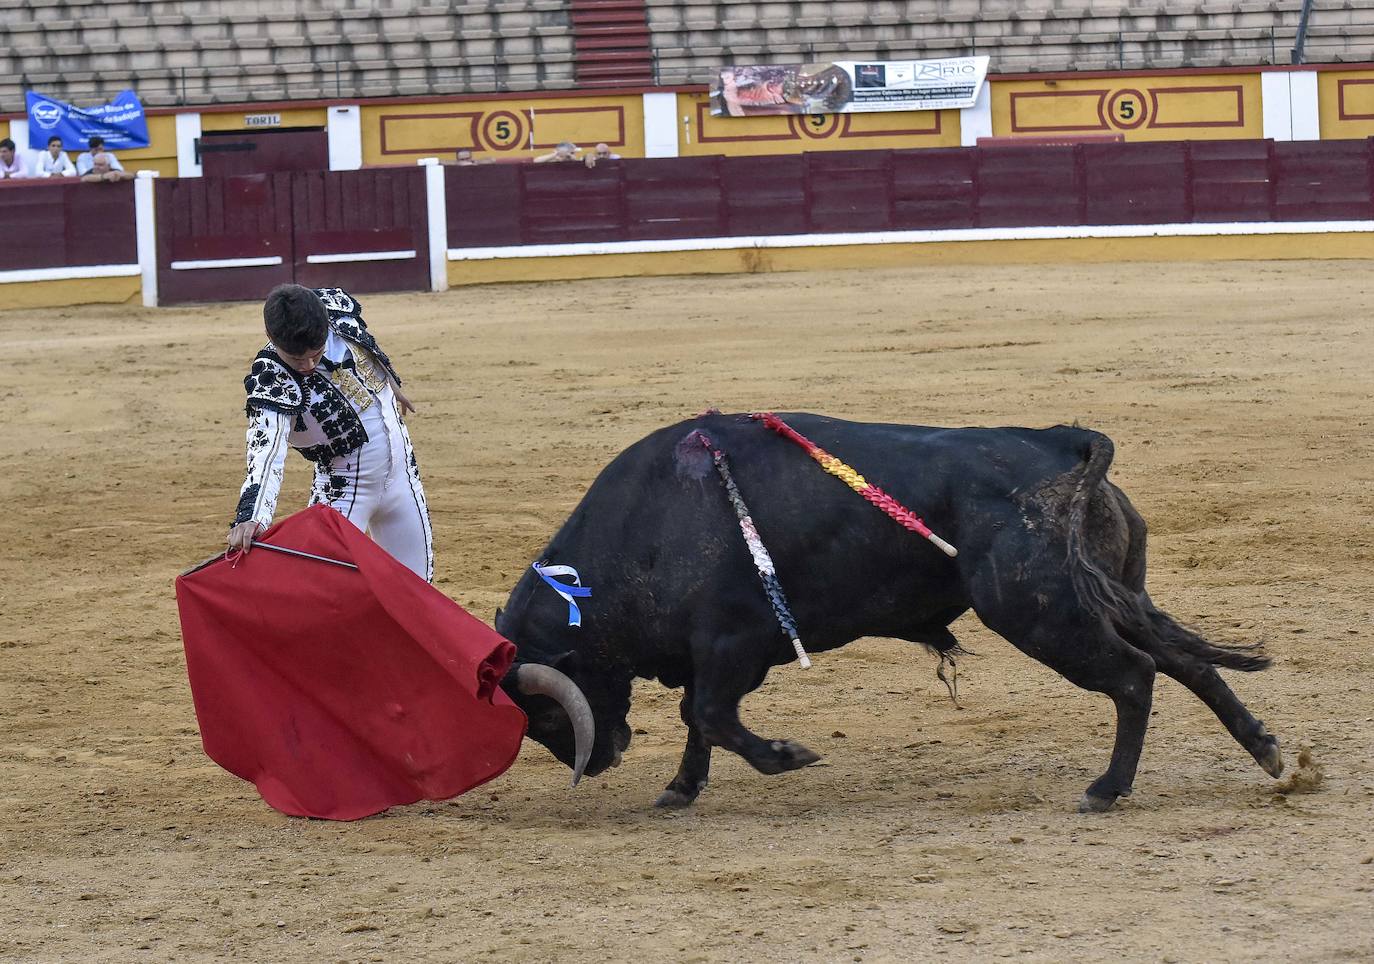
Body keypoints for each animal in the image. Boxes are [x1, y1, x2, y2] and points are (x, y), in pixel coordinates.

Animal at [491, 411, 1275, 812]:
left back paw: (1107, 790)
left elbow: (707, 715)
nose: (598, 762)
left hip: (1038, 612)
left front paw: (788, 756)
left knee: (1136, 675)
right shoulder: (702, 653)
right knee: (1187, 663)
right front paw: (681, 789)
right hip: (1111, 594)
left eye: (549, 714)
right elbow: (697, 723)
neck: (643, 527)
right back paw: (1268, 752)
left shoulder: (732, 644)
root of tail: (1060, 444)